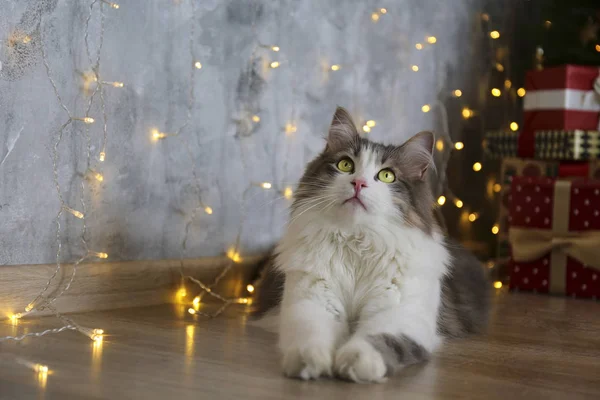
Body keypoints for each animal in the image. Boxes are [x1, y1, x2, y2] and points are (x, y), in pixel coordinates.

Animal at [251, 107, 490, 384]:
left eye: (387, 176)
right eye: (345, 165)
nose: (358, 183)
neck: (357, 242)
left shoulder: (401, 313)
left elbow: (380, 339)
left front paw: (356, 362)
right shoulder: (311, 301)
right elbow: (310, 334)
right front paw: (308, 361)